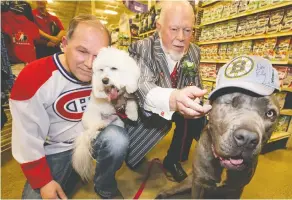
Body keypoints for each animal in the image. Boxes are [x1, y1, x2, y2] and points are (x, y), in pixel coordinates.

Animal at [73, 47, 141, 181]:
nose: (104, 80)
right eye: (101, 70)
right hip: (92, 115)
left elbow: (131, 101)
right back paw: (98, 128)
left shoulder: (129, 96)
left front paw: (132, 114)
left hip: (118, 122)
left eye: (114, 68)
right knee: (92, 129)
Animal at [157, 55, 280, 198]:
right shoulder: (198, 183)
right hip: (187, 182)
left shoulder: (236, 189)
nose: (247, 139)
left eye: (270, 113)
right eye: (231, 102)